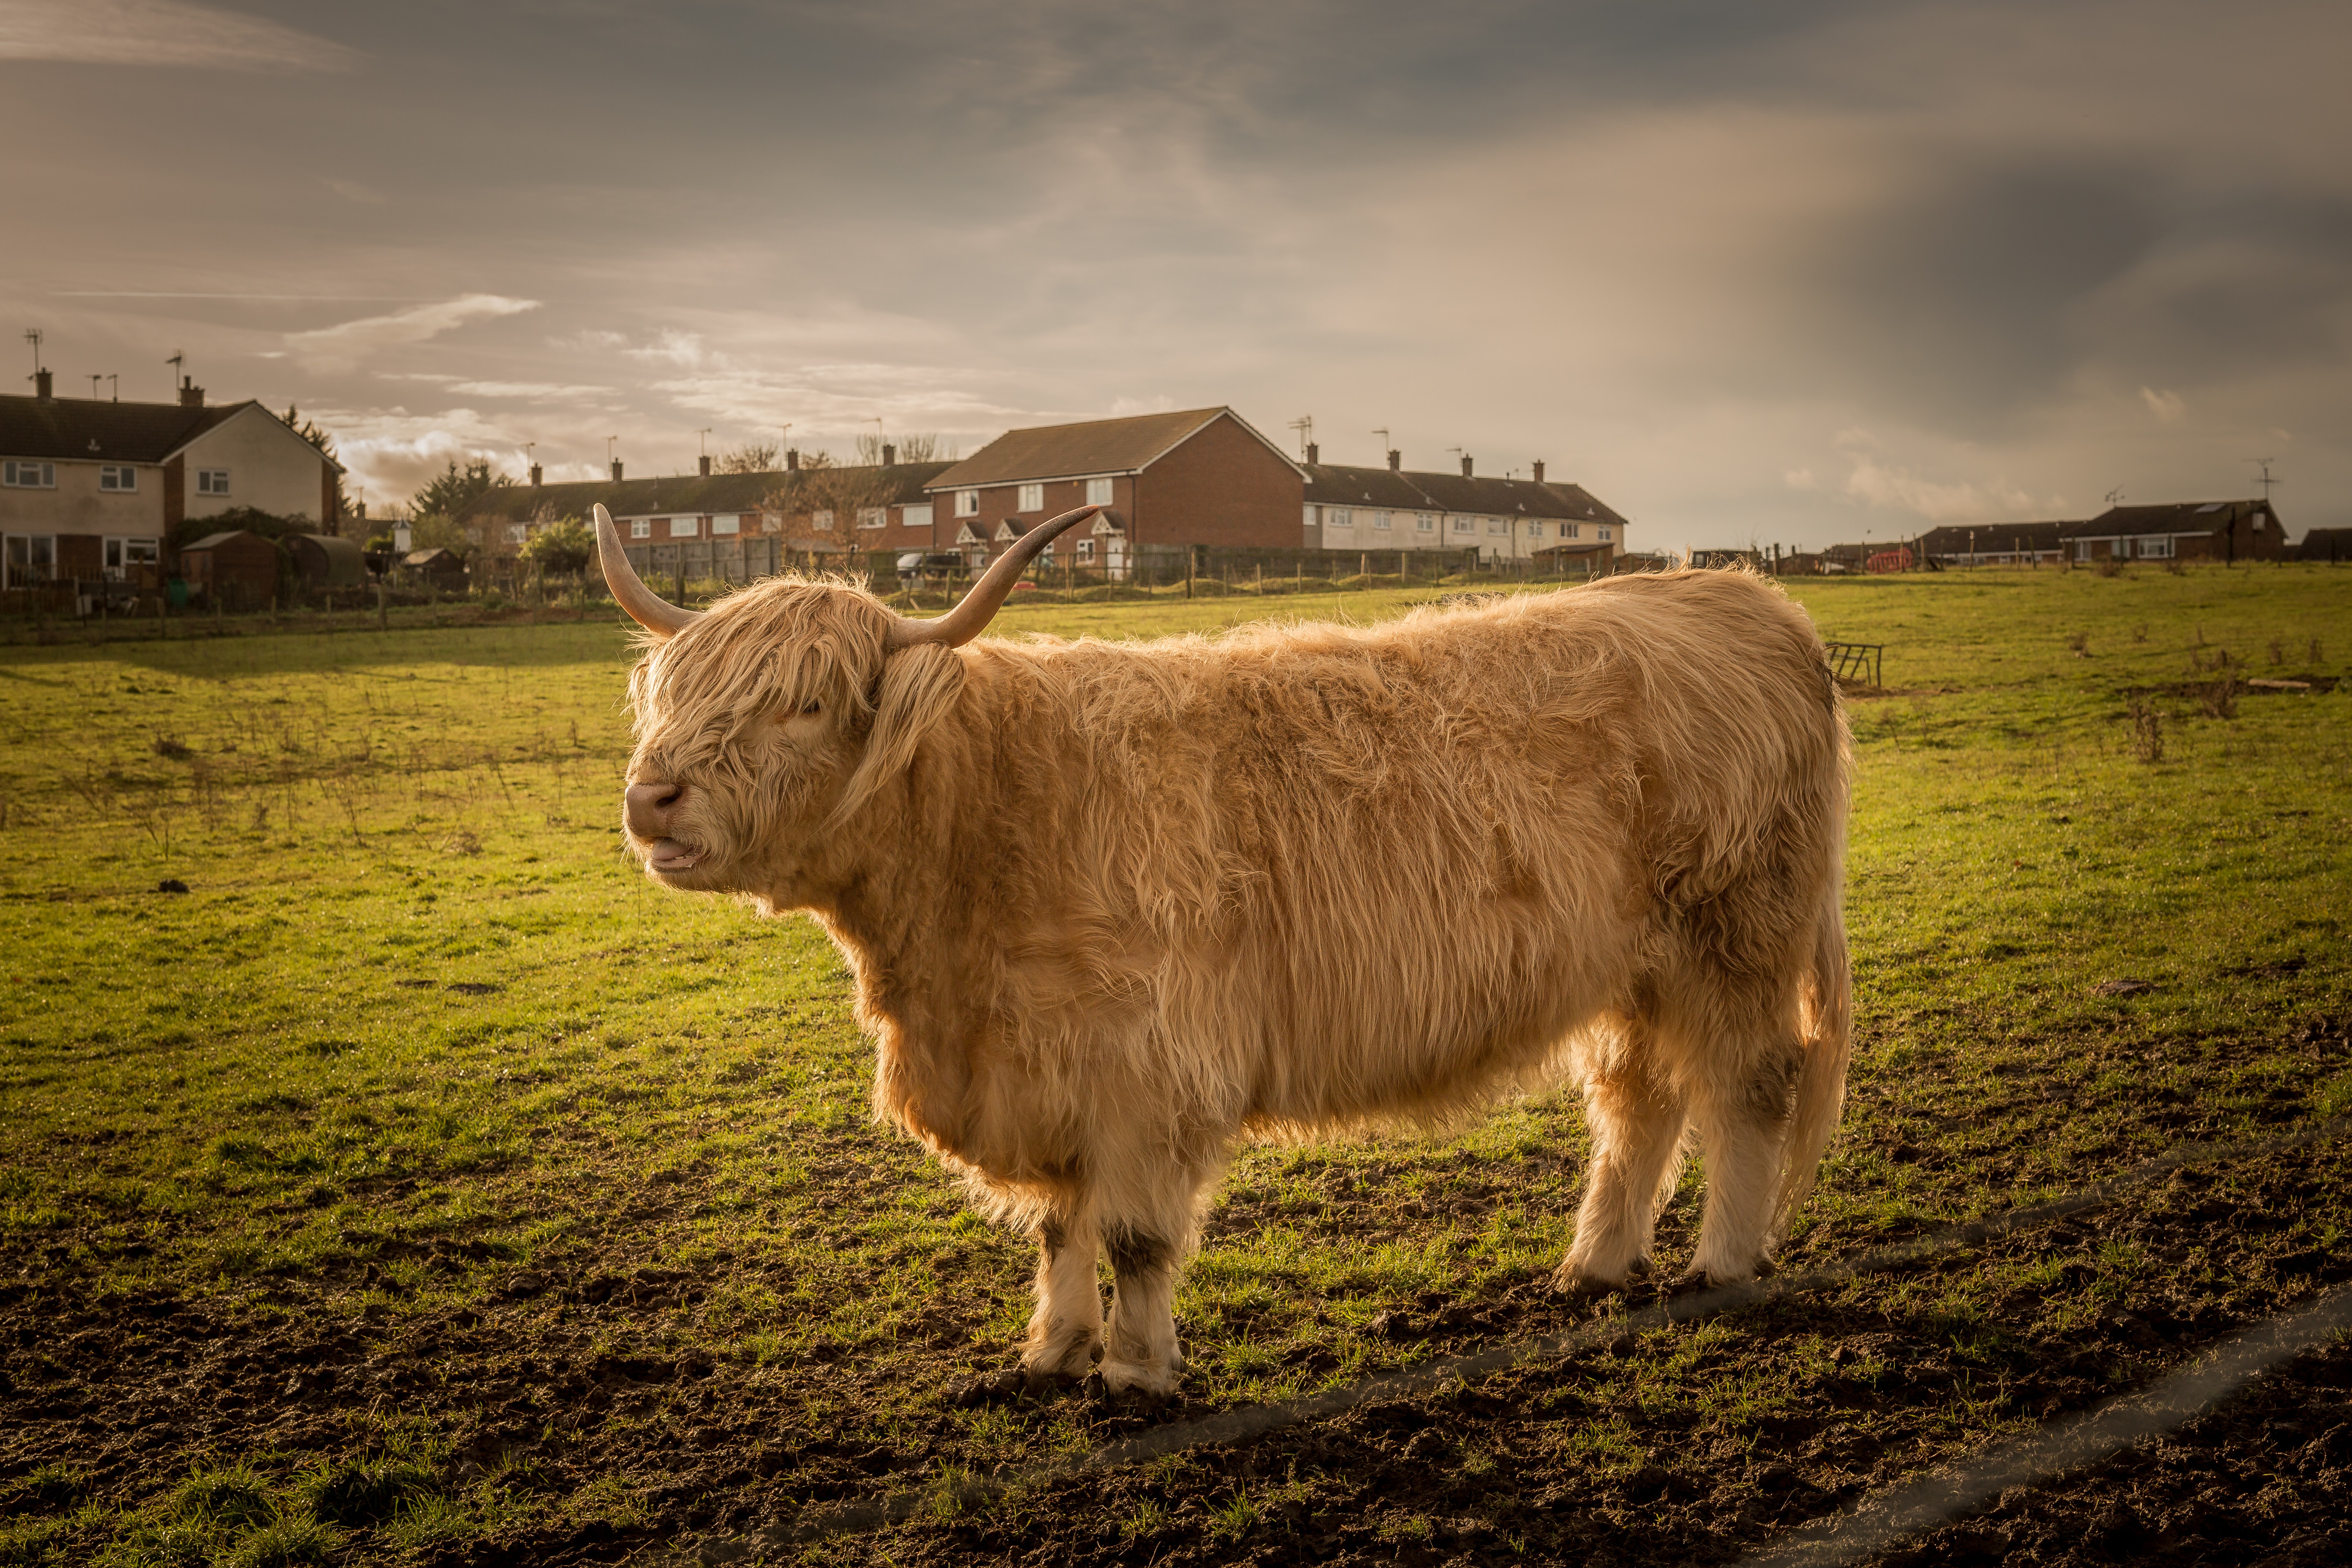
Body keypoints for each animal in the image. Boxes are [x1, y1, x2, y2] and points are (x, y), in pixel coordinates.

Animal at [597, 503, 1844, 1401]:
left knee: (1746, 1086)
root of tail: (1736, 593)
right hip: (1635, 965)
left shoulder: (1146, 1067)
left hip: (1735, 936)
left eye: (804, 704)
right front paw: (1048, 1355)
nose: (651, 797)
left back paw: (1720, 1265)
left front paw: (1136, 1374)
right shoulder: (1044, 1072)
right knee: (1639, 1098)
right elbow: (1060, 1226)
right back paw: (1595, 1264)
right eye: (676, 693)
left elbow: (1136, 1234)